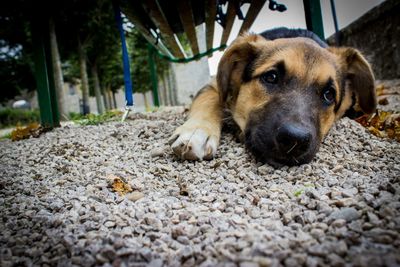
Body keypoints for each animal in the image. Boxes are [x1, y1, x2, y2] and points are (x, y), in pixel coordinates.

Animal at [168, 27, 376, 166]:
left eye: (328, 94)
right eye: (271, 77)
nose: (295, 141)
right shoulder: (215, 87)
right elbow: (209, 101)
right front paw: (197, 131)